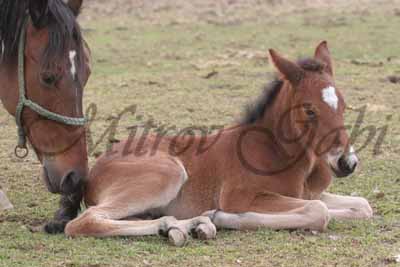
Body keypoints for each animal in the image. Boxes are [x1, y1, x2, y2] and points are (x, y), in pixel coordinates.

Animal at [65, 42, 372, 247]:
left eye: (343, 104)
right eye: (309, 109)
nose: (347, 162)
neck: (277, 151)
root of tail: (96, 168)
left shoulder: (308, 193)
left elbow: (362, 206)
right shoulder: (242, 197)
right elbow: (318, 212)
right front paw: (221, 216)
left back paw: (184, 226)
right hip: (168, 172)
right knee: (83, 221)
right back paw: (186, 224)